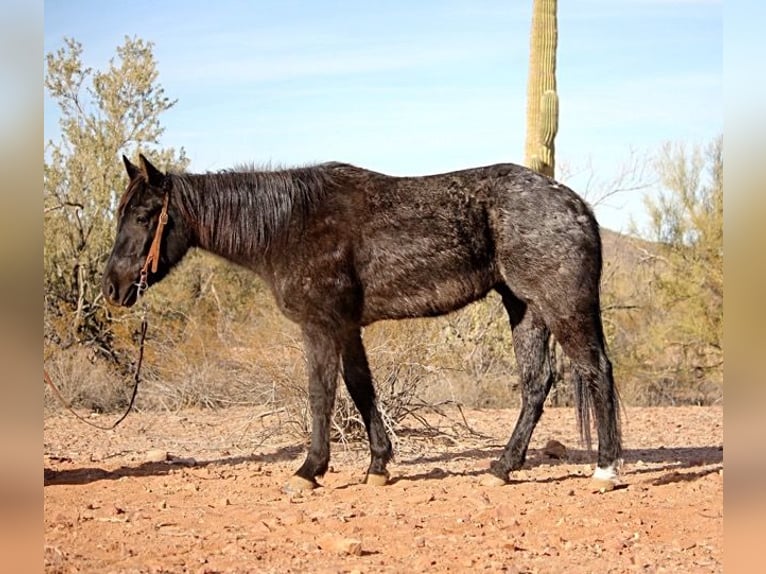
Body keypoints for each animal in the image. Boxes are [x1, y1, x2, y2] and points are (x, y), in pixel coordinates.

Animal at [102, 155, 624, 492]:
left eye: (145, 215)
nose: (112, 286)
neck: (288, 225)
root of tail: (578, 206)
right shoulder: (346, 328)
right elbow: (360, 388)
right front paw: (378, 465)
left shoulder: (319, 327)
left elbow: (321, 395)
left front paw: (309, 470)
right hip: (525, 309)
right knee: (537, 384)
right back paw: (501, 468)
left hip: (562, 306)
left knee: (597, 370)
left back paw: (605, 470)